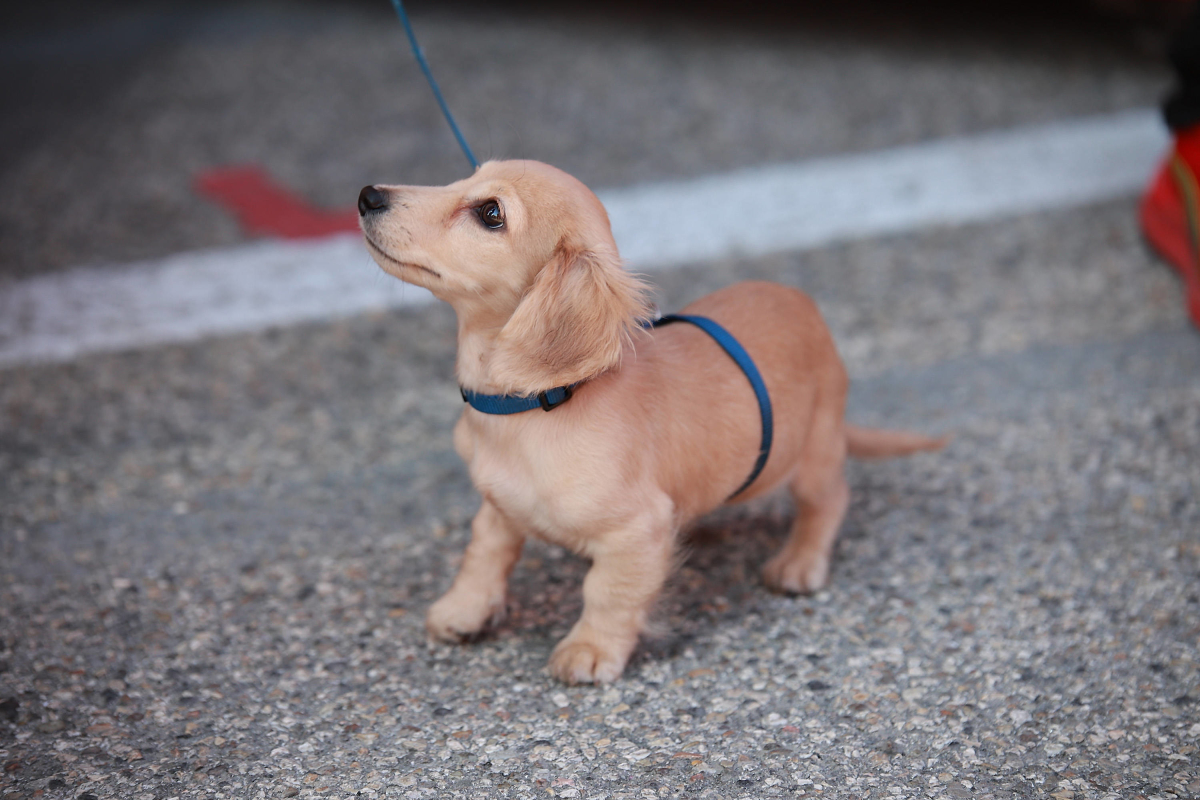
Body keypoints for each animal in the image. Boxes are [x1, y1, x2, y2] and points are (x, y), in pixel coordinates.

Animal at [357, 159, 945, 686]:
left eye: (491, 213)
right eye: (467, 176)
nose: (367, 195)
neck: (531, 409)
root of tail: (804, 304)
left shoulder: (634, 533)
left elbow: (607, 594)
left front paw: (590, 650)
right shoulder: (498, 506)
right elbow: (484, 555)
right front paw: (463, 611)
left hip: (814, 451)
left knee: (829, 501)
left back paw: (799, 561)